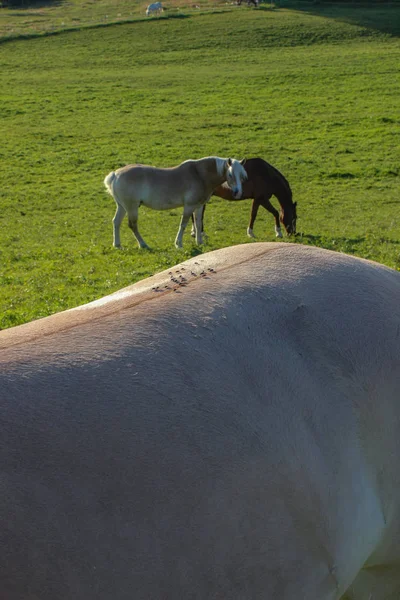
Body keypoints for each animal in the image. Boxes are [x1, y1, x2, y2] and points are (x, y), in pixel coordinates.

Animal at [103, 157, 247, 248]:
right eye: (230, 175)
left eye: (242, 176)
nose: (237, 192)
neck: (199, 175)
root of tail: (115, 174)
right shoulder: (189, 206)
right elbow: (183, 224)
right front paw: (178, 244)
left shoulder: (199, 206)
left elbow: (198, 224)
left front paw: (199, 242)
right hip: (132, 207)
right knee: (132, 225)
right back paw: (143, 244)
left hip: (122, 207)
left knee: (116, 222)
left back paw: (117, 244)